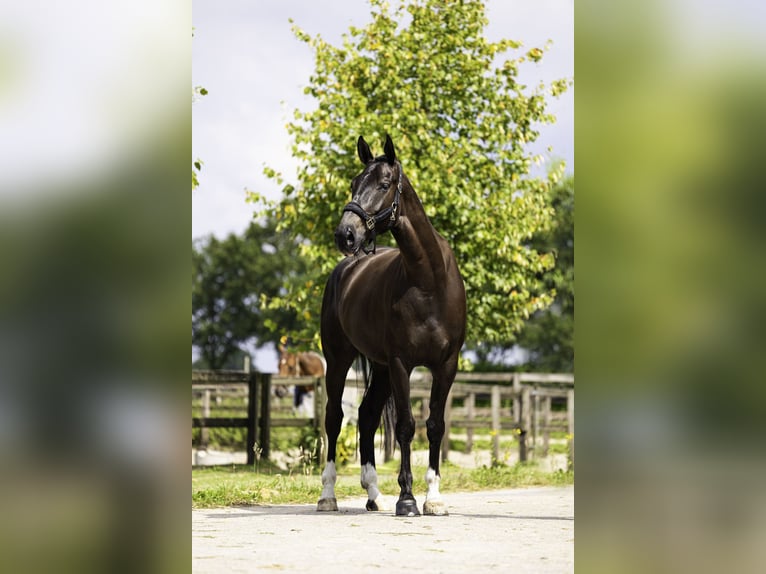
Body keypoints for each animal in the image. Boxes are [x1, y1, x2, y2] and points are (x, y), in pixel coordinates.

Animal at [318, 135, 468, 516]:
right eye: (354, 183)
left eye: (384, 185)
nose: (346, 235)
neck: (429, 280)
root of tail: (347, 267)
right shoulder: (402, 362)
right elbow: (405, 426)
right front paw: (408, 498)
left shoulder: (446, 364)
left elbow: (435, 425)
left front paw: (434, 498)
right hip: (339, 360)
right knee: (334, 418)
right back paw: (327, 495)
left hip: (381, 368)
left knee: (367, 416)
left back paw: (373, 494)